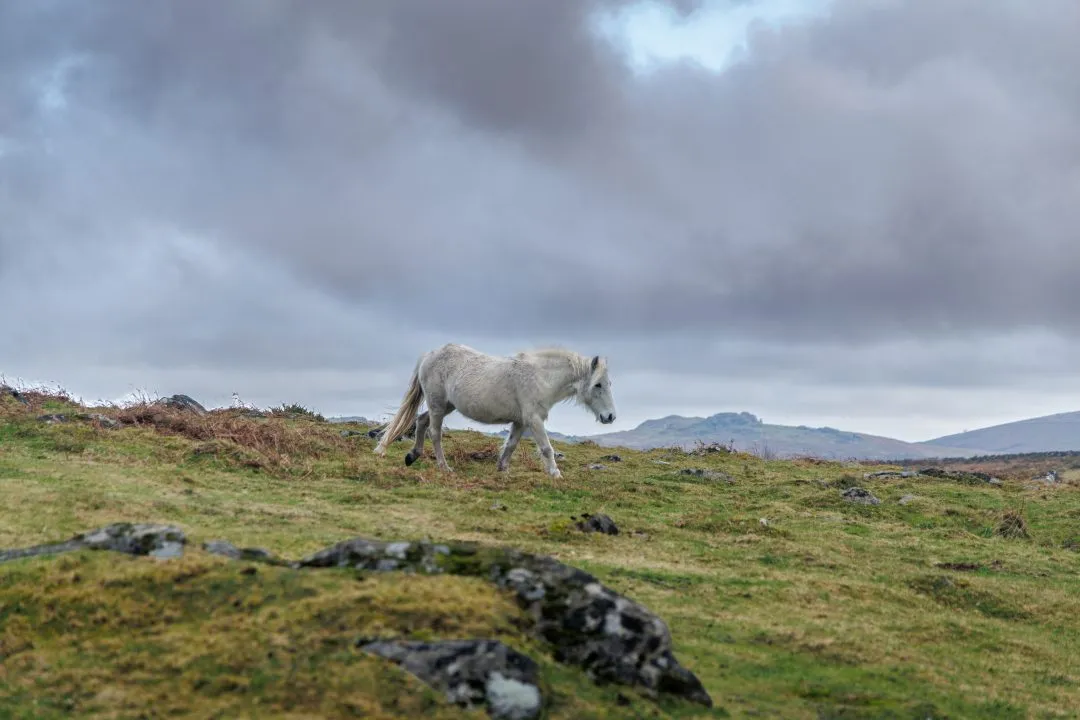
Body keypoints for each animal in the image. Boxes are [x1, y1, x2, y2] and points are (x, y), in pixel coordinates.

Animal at [373, 343, 616, 478]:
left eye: (608, 383)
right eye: (597, 385)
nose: (610, 416)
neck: (541, 377)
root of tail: (430, 354)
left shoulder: (521, 421)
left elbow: (511, 445)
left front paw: (503, 469)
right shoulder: (534, 419)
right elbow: (547, 448)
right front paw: (556, 474)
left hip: (444, 406)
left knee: (422, 421)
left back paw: (412, 455)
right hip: (438, 405)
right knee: (435, 433)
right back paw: (444, 467)